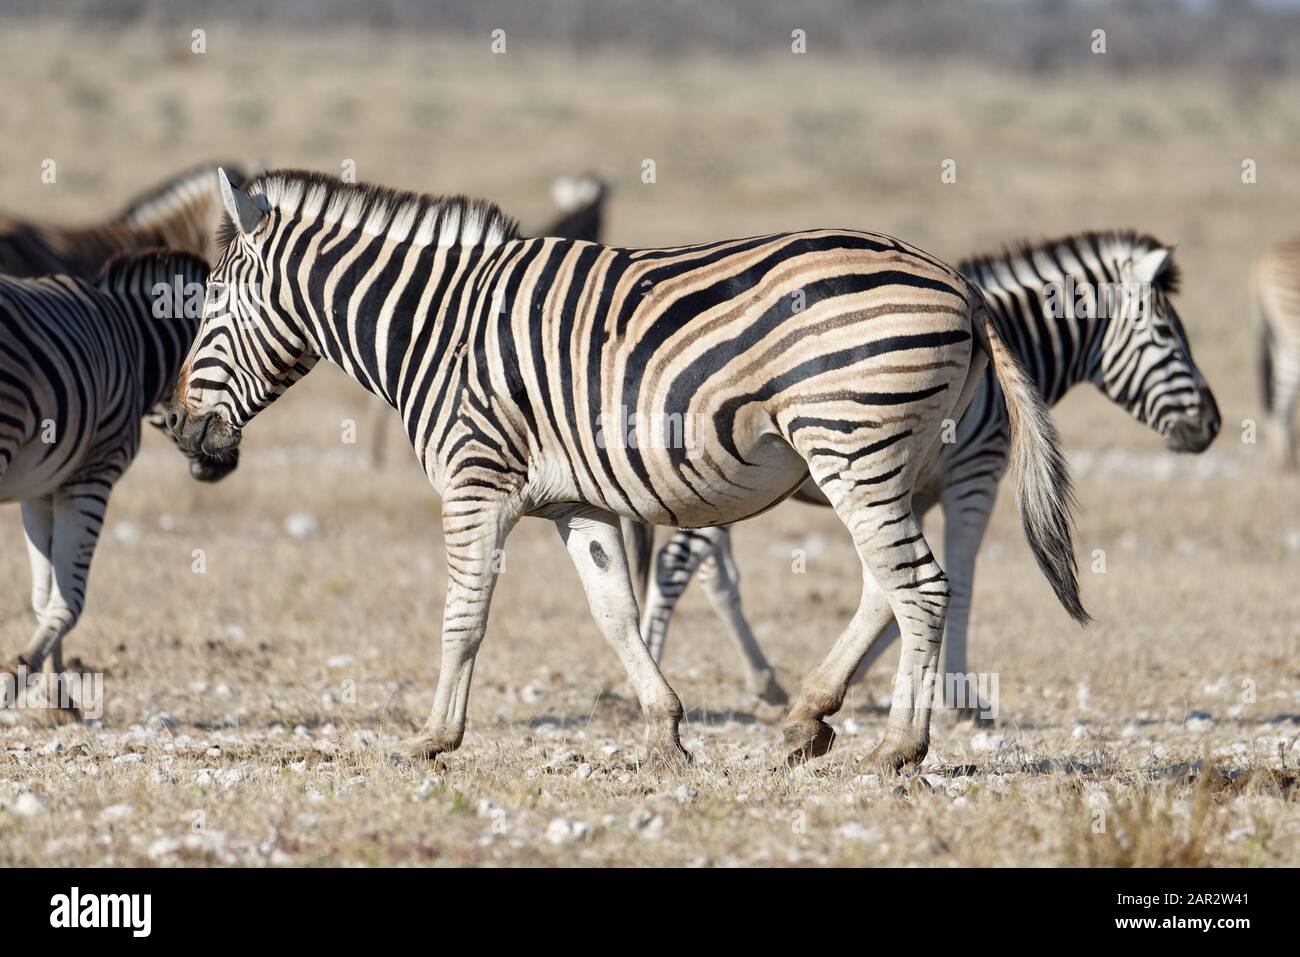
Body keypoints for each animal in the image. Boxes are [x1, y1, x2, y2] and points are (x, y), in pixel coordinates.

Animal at [1, 250, 233, 712]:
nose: (226, 465)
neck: (132, 342)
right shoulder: (94, 476)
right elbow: (69, 600)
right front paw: (19, 676)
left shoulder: (42, 488)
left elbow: (43, 595)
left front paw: (57, 697)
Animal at [167, 170, 1086, 769]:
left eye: (209, 305)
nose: (175, 424)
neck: (439, 326)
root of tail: (959, 283)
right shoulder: (575, 501)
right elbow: (613, 613)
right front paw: (664, 731)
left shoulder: (474, 479)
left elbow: (463, 616)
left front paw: (432, 737)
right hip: (889, 459)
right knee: (883, 587)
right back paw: (806, 719)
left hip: (852, 444)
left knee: (919, 588)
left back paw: (898, 746)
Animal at [634, 230, 1222, 712]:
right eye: (1167, 334)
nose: (1213, 425)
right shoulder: (974, 476)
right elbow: (959, 578)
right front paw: (959, 696)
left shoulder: (914, 488)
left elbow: (897, 586)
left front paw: (866, 674)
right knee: (677, 565)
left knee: (709, 572)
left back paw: (760, 681)